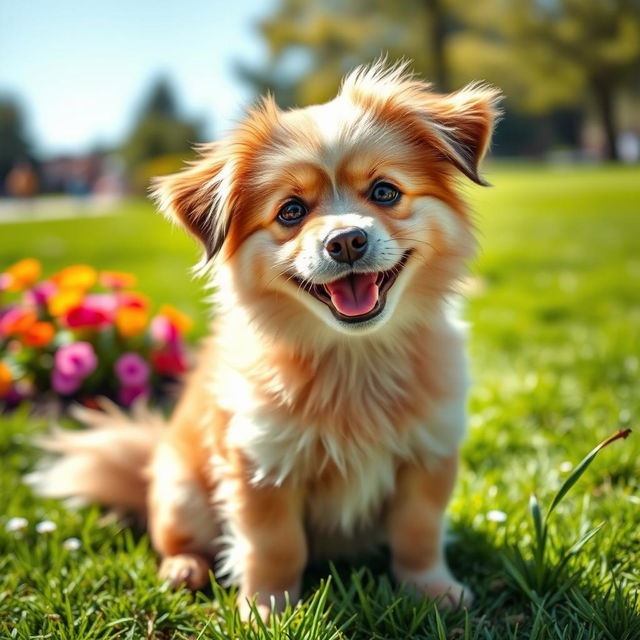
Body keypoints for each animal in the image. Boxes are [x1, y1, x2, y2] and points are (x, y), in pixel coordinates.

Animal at [31, 60, 500, 620]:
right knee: (174, 540)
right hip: (183, 494)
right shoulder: (261, 465)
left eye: (385, 192)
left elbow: (419, 531)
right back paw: (183, 569)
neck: (353, 358)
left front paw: (432, 590)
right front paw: (268, 610)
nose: (346, 241)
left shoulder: (429, 453)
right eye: (291, 212)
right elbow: (275, 546)